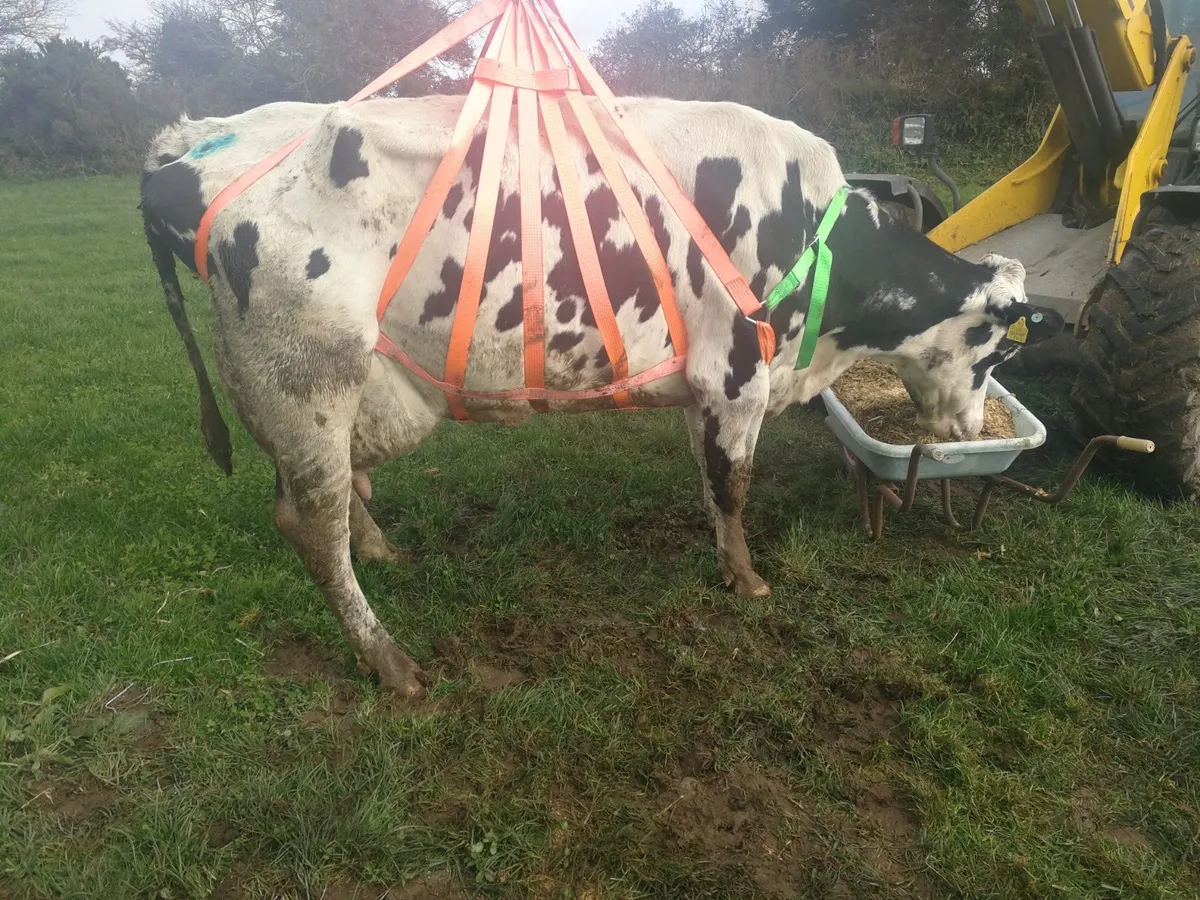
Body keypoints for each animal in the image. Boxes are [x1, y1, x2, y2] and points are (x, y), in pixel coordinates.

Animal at [139, 94, 1063, 697]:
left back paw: (383, 552)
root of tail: (185, 144)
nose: (968, 425)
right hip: (306, 376)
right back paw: (391, 663)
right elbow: (736, 483)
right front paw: (749, 581)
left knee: (323, 502)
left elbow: (708, 477)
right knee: (311, 525)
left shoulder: (705, 385)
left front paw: (724, 560)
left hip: (319, 391)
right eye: (994, 349)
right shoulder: (739, 368)